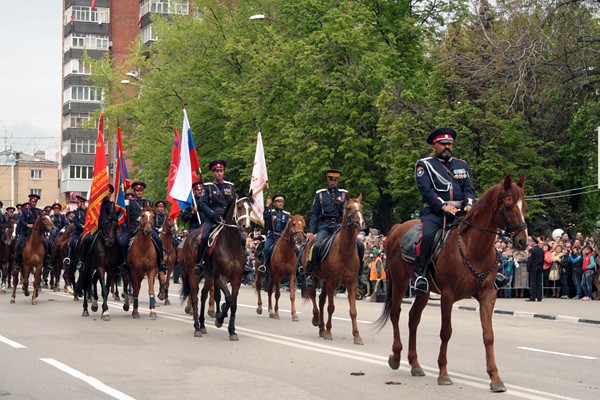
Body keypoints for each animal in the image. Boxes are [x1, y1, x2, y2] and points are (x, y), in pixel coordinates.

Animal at [179, 195, 252, 340]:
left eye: (250, 208)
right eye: (240, 207)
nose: (246, 227)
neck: (230, 245)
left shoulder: (236, 279)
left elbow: (233, 303)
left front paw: (232, 331)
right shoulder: (220, 277)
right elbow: (228, 299)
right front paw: (219, 320)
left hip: (209, 277)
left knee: (203, 295)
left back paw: (202, 325)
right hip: (193, 274)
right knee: (195, 298)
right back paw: (197, 327)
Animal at [300, 195, 366, 344]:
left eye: (361, 207)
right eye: (349, 208)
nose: (360, 223)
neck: (344, 251)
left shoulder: (352, 284)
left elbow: (353, 311)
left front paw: (357, 336)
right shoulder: (331, 283)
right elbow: (331, 308)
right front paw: (329, 332)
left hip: (324, 282)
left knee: (321, 300)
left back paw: (321, 328)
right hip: (314, 278)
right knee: (314, 297)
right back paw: (316, 320)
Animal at [378, 174, 528, 390]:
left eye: (524, 206)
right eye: (508, 206)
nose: (523, 241)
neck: (474, 249)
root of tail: (398, 227)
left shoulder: (488, 295)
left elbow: (488, 335)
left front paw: (495, 377)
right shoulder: (447, 296)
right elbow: (446, 332)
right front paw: (443, 373)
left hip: (424, 290)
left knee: (413, 318)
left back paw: (415, 364)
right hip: (399, 281)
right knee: (396, 313)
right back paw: (396, 356)